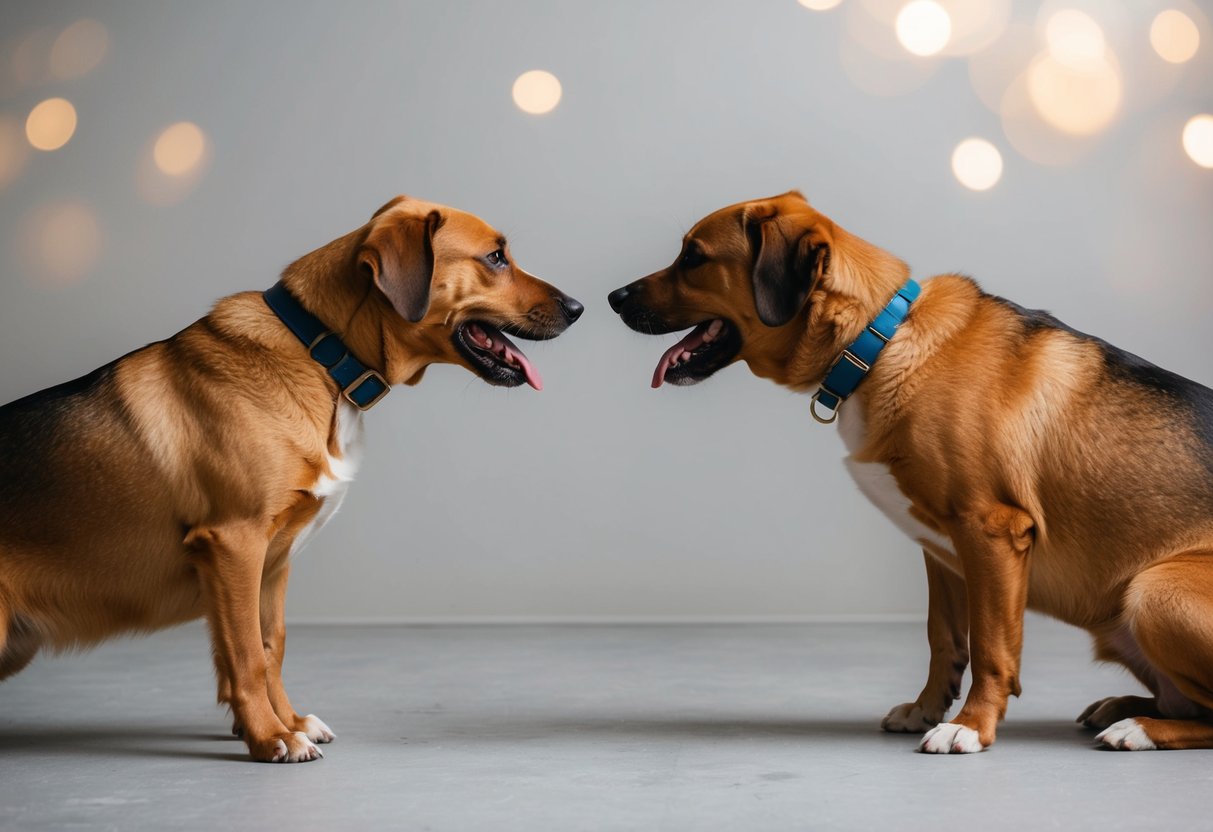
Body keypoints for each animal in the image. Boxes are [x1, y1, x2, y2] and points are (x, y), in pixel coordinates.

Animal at [0, 195, 582, 761]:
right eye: (496, 258)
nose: (578, 308)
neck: (321, 355)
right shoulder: (233, 545)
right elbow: (247, 658)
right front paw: (269, 738)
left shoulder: (271, 563)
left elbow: (269, 646)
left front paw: (288, 721)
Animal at [606, 190, 1213, 756]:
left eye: (693, 257)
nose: (612, 298)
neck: (877, 343)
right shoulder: (943, 550)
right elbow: (944, 640)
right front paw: (927, 710)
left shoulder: (991, 533)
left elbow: (992, 648)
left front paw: (970, 726)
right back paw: (1123, 707)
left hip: (1153, 590)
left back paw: (1138, 728)